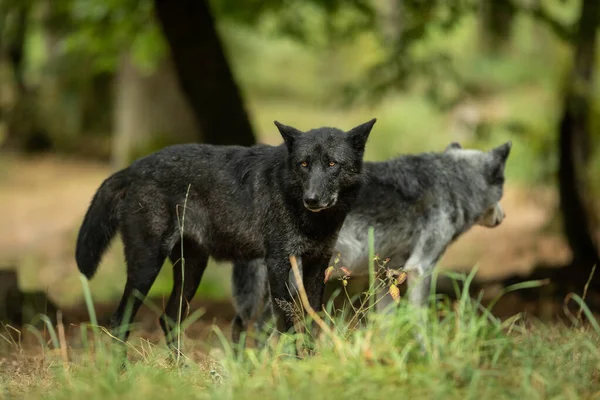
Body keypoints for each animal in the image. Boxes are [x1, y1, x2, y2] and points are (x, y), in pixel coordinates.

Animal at [75, 118, 376, 350]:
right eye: (303, 164)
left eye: (332, 164)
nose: (311, 199)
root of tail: (132, 168)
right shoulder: (277, 264)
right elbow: (286, 325)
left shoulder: (317, 263)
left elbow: (312, 320)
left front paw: (311, 362)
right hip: (146, 266)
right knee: (120, 320)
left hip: (192, 269)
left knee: (169, 319)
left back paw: (181, 371)